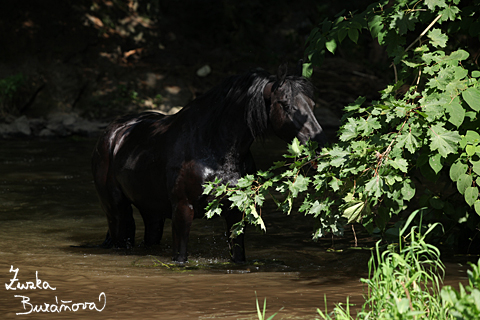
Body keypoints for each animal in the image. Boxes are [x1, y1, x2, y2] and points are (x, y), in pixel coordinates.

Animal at [92, 63, 328, 264]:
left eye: (312, 104)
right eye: (286, 105)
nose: (319, 147)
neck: (212, 147)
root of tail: (113, 133)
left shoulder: (235, 210)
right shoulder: (182, 210)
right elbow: (180, 258)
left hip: (152, 212)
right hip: (118, 212)